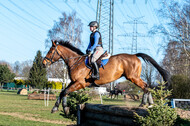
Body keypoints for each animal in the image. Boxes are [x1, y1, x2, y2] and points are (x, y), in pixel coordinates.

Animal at [42, 39, 170, 113]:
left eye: (50, 51)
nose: (43, 63)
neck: (76, 61)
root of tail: (134, 55)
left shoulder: (80, 83)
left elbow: (65, 91)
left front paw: (62, 108)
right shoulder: (73, 82)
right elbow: (63, 91)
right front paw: (59, 107)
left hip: (133, 77)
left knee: (145, 86)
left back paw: (144, 104)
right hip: (134, 77)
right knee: (147, 86)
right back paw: (150, 104)